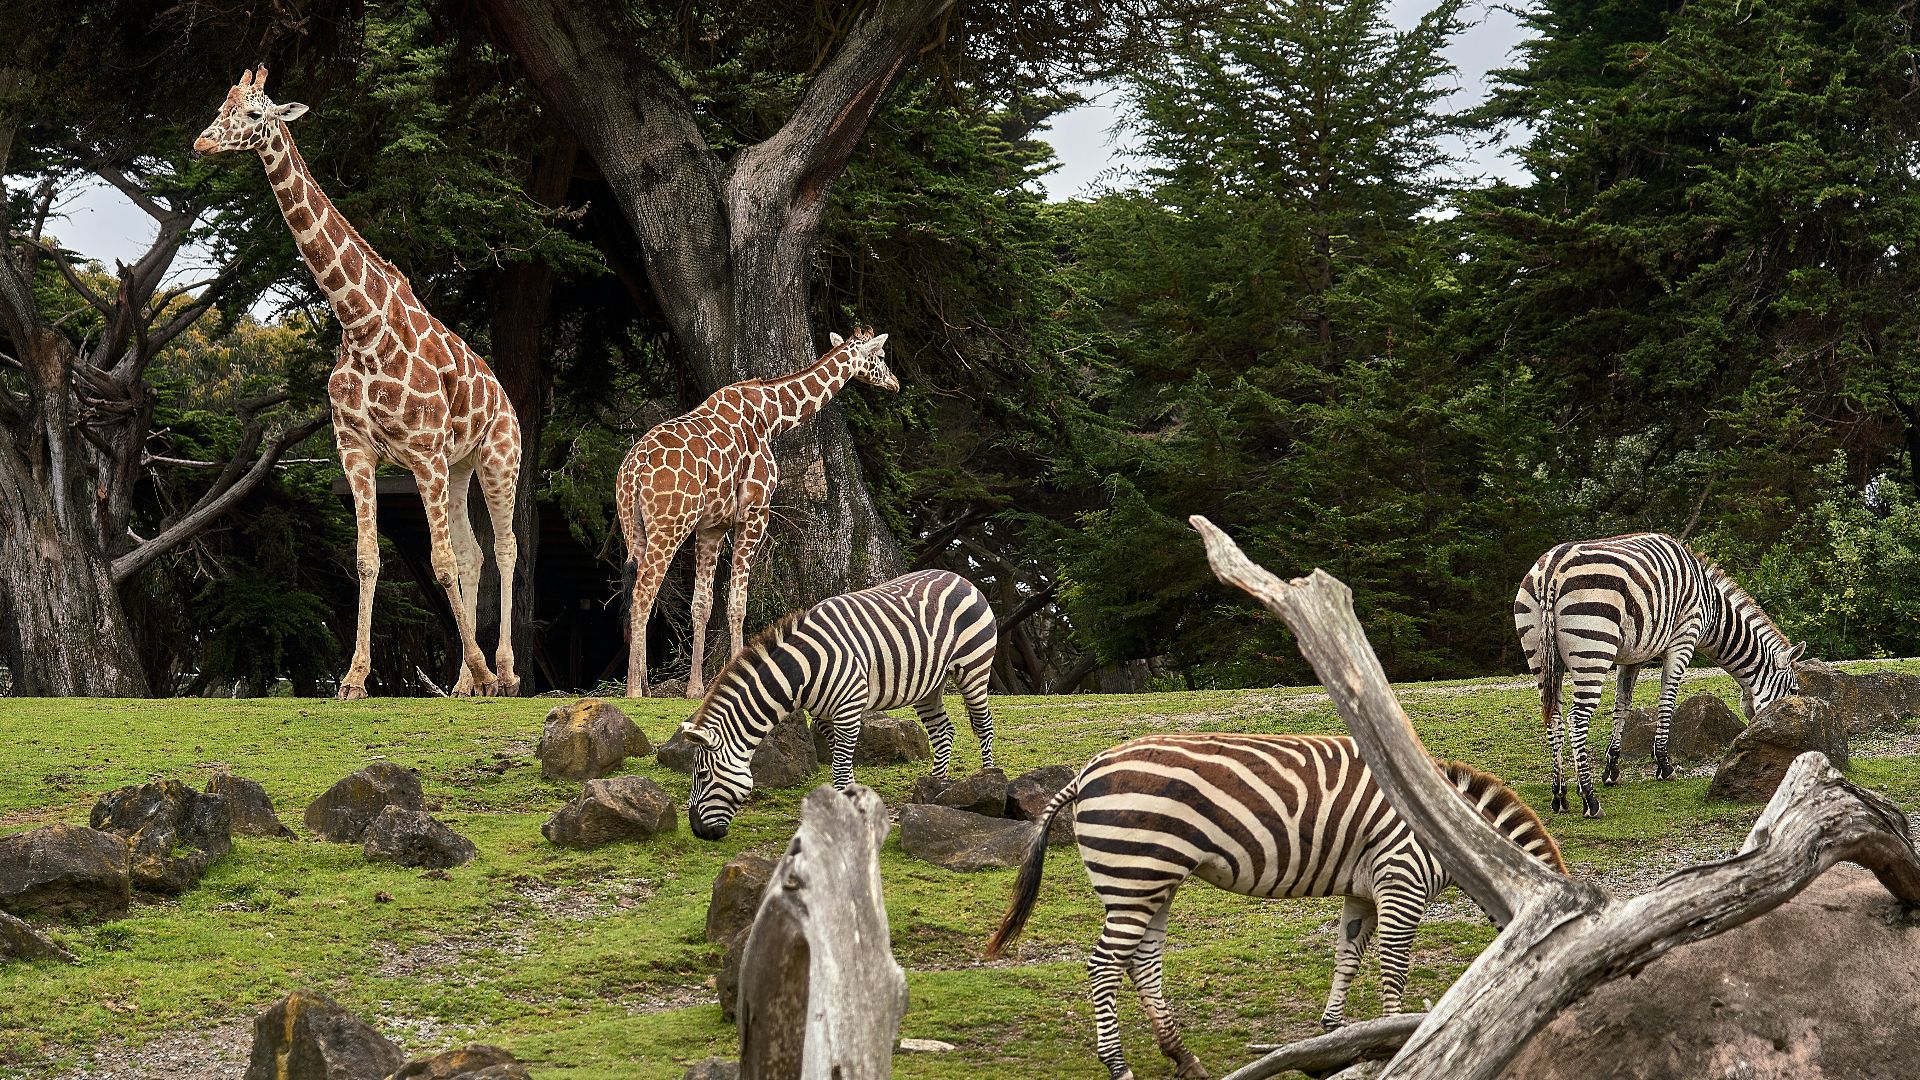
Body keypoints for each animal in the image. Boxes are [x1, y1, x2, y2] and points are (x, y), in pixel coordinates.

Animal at [195, 66, 522, 700]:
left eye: (253, 114)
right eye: (222, 105)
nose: (201, 143)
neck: (360, 322)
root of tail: (504, 398)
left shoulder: (422, 453)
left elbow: (440, 561)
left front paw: (478, 668)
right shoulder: (357, 449)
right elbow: (370, 557)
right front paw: (353, 678)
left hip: (498, 457)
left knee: (504, 547)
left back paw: (504, 672)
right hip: (460, 465)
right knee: (473, 552)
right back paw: (467, 681)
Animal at [617, 328, 898, 699]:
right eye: (880, 356)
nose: (895, 383)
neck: (772, 416)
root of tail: (633, 471)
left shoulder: (712, 526)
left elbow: (702, 604)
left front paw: (696, 688)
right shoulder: (754, 513)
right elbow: (738, 602)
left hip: (633, 528)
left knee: (635, 591)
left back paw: (644, 686)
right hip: (670, 526)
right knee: (642, 594)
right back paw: (634, 690)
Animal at [678, 568, 998, 840]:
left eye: (702, 775)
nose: (696, 831)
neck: (803, 669)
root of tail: (958, 576)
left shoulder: (847, 710)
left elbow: (840, 768)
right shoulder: (824, 717)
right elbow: (841, 761)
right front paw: (851, 803)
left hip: (974, 666)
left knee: (983, 724)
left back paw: (987, 780)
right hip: (929, 684)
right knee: (943, 730)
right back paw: (935, 787)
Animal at [985, 733, 1564, 1080]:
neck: (1453, 832)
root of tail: (1085, 771)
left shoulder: (1363, 888)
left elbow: (1348, 956)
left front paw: (1335, 1032)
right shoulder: (1401, 879)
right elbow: (1394, 966)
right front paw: (1396, 1035)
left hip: (1152, 883)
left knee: (1141, 962)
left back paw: (1184, 1057)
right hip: (1136, 874)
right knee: (1105, 966)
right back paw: (1120, 1067)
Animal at [1514, 532, 1804, 818]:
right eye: (1793, 693)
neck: (1712, 609)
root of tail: (1550, 572)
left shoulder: (1632, 655)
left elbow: (1622, 706)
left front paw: (1612, 769)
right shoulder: (1683, 641)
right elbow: (1667, 702)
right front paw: (1664, 765)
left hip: (1540, 656)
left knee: (1554, 718)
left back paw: (1560, 795)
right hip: (1593, 649)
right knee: (1577, 720)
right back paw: (1589, 799)